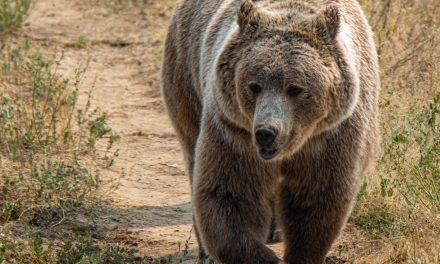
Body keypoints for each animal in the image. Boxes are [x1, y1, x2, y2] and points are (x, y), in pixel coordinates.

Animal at [160, 1, 380, 262]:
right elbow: (230, 192)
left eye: (295, 89)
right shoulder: (234, 131)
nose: (266, 132)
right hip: (187, 76)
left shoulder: (332, 135)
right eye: (254, 86)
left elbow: (316, 198)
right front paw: (263, 256)